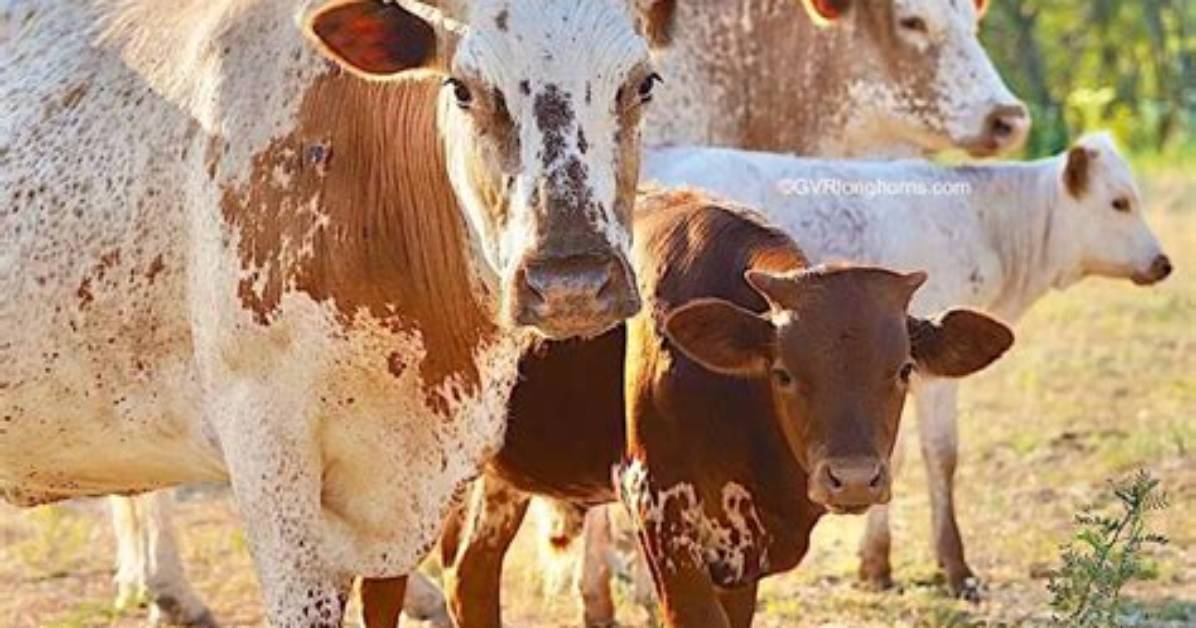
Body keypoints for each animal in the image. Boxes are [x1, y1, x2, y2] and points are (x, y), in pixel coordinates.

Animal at [424, 189, 1013, 627]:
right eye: (784, 373)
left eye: (904, 369)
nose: (853, 479)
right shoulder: (659, 513)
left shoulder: (741, 555)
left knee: (470, 572)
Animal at [641, 131, 1172, 598]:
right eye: (1119, 202)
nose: (1163, 262)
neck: (984, 220)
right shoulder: (933, 378)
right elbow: (941, 455)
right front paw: (955, 568)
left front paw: (876, 563)